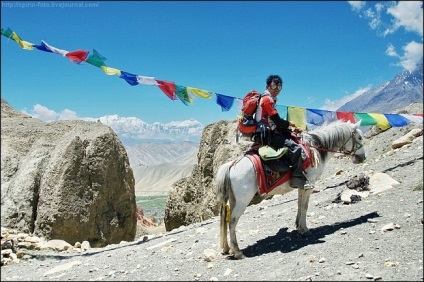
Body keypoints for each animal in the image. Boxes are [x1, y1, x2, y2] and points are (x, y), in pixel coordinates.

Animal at [217, 120, 366, 258]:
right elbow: (305, 206)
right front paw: (305, 230)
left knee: (226, 220)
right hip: (243, 201)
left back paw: (227, 249)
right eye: (359, 138)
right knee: (232, 221)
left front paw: (298, 226)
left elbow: (299, 205)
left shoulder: (302, 185)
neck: (315, 148)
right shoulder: (309, 185)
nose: (362, 157)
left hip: (233, 200)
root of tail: (231, 166)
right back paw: (237, 252)